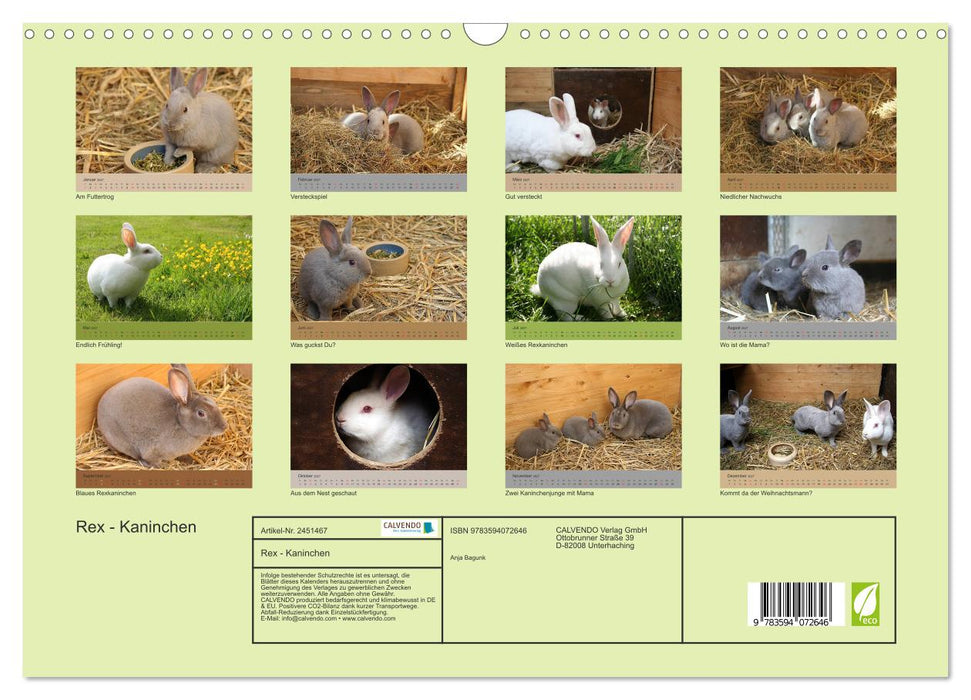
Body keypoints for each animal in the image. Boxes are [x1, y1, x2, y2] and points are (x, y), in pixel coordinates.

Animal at [97, 364, 227, 468]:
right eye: (201, 413)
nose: (224, 427)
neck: (181, 424)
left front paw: (190, 460)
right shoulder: (152, 450)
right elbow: (150, 460)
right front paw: (160, 466)